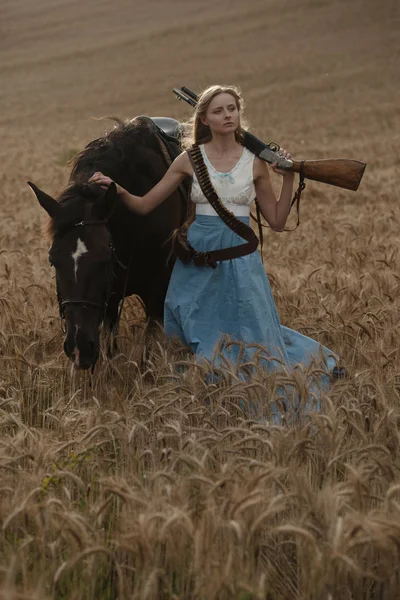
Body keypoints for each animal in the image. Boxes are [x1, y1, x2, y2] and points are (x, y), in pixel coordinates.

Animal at [29, 117, 189, 370]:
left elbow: (149, 354)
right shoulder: (110, 299)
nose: (78, 348)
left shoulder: (156, 292)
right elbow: (110, 350)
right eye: (53, 260)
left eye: (104, 257)